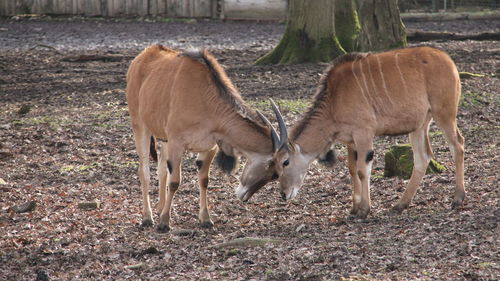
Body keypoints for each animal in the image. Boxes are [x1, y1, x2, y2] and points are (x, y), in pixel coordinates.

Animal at [125, 44, 282, 231]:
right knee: (144, 171)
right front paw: (164, 222)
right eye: (272, 170)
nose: (244, 196)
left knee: (161, 170)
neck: (204, 97)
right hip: (140, 126)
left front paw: (205, 218)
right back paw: (147, 217)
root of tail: (142, 56)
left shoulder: (210, 147)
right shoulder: (177, 143)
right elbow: (175, 182)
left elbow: (204, 180)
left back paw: (160, 207)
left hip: (164, 139)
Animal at [266, 45, 464, 217]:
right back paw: (400, 204)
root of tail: (448, 60)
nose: (284, 194)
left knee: (458, 146)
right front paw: (354, 208)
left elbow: (363, 170)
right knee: (423, 157)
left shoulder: (364, 134)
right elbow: (352, 169)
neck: (334, 100)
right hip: (420, 125)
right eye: (273, 163)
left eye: (285, 162)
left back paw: (458, 198)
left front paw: (364, 210)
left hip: (444, 114)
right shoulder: (351, 141)